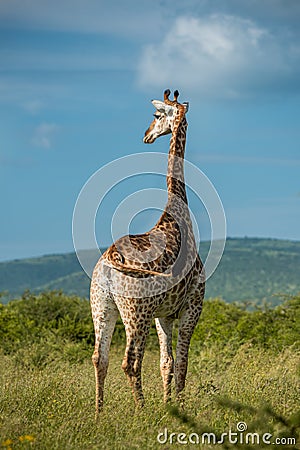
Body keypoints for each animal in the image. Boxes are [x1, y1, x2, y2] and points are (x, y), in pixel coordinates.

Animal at [90, 89, 205, 414]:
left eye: (155, 116)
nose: (146, 135)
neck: (176, 216)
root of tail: (109, 261)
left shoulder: (163, 314)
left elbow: (167, 363)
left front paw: (169, 406)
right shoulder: (193, 303)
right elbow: (183, 363)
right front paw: (179, 407)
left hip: (102, 306)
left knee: (99, 358)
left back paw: (98, 413)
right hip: (135, 311)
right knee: (130, 362)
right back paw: (140, 410)